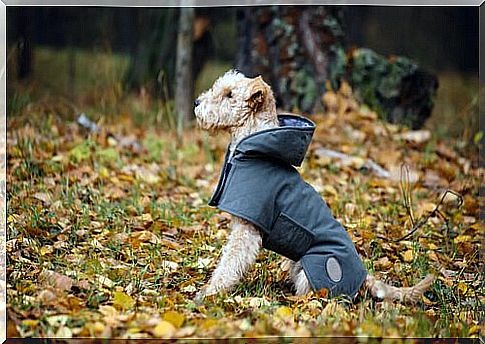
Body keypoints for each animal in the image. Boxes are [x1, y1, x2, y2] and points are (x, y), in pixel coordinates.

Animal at [191, 70, 432, 304]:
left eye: (229, 94)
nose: (196, 102)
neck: (254, 149)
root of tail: (364, 277)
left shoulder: (247, 230)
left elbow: (229, 264)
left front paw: (209, 293)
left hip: (316, 268)